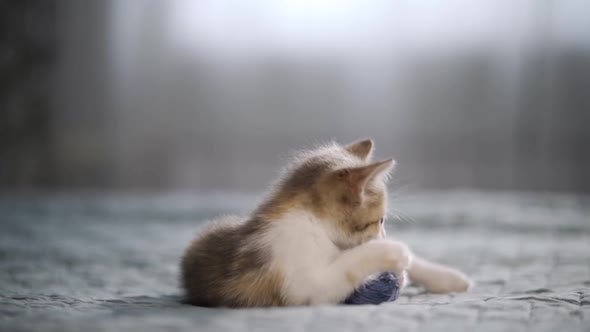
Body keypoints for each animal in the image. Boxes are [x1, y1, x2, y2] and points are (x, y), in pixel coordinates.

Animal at [180, 139, 472, 308]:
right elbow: (350, 264)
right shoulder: (305, 285)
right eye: (379, 220)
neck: (313, 224)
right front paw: (395, 254)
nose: (383, 234)